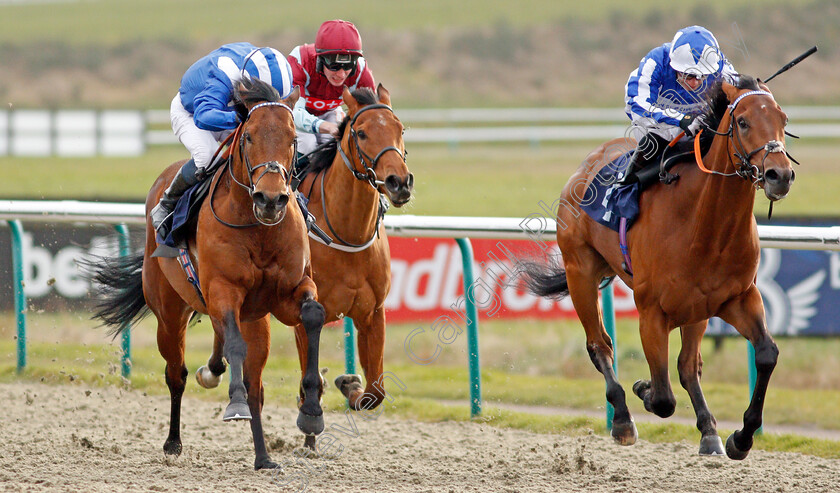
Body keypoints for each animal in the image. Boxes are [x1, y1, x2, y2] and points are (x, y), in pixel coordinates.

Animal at [88, 78, 324, 468]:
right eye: (248, 137)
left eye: (293, 138)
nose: (270, 199)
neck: (258, 229)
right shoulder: (223, 291)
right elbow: (234, 345)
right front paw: (234, 402)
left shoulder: (290, 291)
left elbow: (313, 316)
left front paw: (312, 412)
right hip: (169, 312)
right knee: (177, 373)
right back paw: (173, 441)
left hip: (255, 319)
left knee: (256, 383)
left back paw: (263, 457)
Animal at [194, 82, 410, 444]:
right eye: (362, 133)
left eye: (401, 129)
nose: (399, 182)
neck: (347, 234)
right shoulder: (301, 307)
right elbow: (312, 370)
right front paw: (311, 417)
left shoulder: (373, 312)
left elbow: (375, 391)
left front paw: (348, 383)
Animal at [520, 75, 796, 460]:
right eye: (742, 122)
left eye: (783, 119)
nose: (779, 175)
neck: (703, 225)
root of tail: (585, 166)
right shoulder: (651, 311)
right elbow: (663, 398)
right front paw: (643, 389)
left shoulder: (738, 298)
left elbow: (766, 354)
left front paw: (740, 438)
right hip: (580, 272)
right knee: (600, 345)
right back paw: (622, 419)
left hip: (696, 309)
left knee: (687, 366)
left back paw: (709, 431)